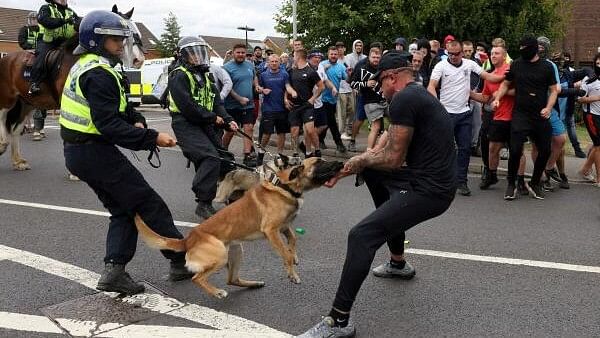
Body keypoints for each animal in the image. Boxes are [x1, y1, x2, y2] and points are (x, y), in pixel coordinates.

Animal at [0, 6, 145, 172]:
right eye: (125, 33)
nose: (139, 60)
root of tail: (6, 59)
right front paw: (74, 172)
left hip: (27, 103)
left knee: (16, 130)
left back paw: (18, 161)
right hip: (7, 99)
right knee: (2, 119)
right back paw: (3, 144)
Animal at [135, 157, 342, 298]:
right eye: (319, 162)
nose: (341, 163)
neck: (284, 186)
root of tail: (188, 239)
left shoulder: (284, 227)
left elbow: (293, 239)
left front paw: (295, 255)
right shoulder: (271, 231)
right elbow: (285, 254)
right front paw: (292, 274)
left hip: (236, 251)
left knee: (232, 279)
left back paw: (253, 283)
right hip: (220, 255)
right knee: (198, 278)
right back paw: (217, 292)